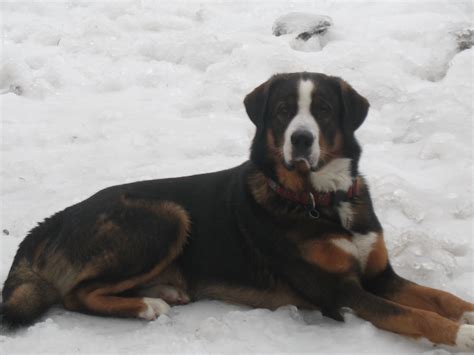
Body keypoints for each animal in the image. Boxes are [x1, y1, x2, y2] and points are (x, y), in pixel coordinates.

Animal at [2, 72, 474, 350]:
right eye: (283, 111)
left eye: (323, 110)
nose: (301, 139)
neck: (321, 201)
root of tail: (58, 217)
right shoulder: (336, 291)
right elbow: (413, 314)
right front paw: (463, 334)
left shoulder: (381, 275)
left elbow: (439, 297)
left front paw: (467, 312)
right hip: (167, 215)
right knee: (75, 293)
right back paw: (147, 306)